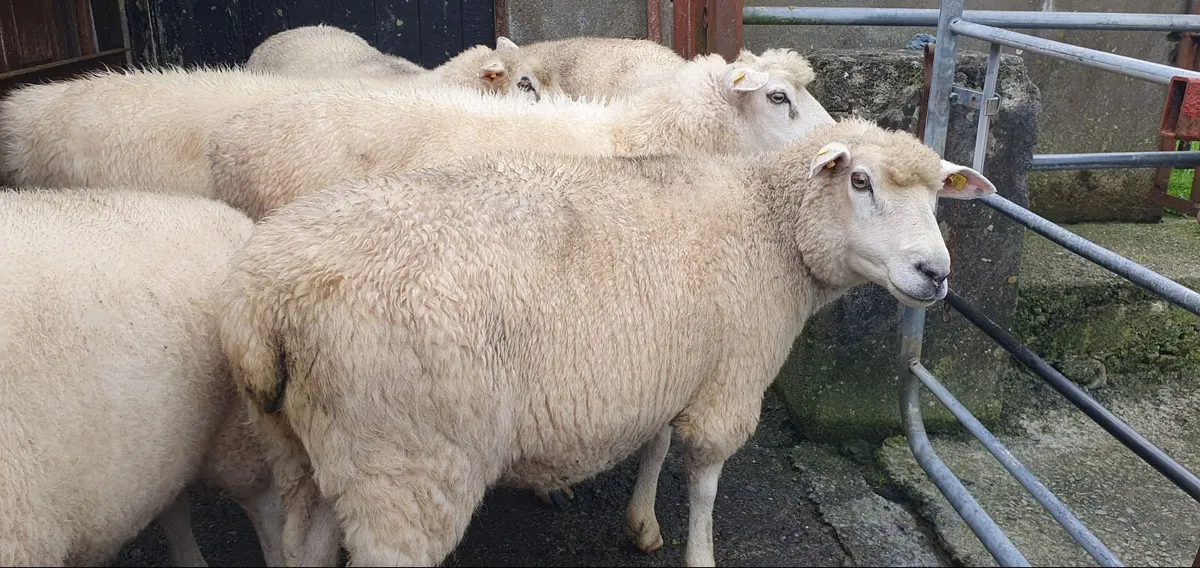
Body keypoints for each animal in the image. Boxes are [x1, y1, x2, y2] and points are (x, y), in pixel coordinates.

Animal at [216, 116, 998, 567]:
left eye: (937, 197)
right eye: (860, 181)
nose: (936, 273)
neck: (769, 227)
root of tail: (266, 299)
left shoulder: (667, 364)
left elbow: (653, 444)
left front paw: (640, 525)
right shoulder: (726, 382)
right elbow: (705, 484)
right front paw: (698, 555)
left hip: (303, 448)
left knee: (302, 545)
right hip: (405, 463)